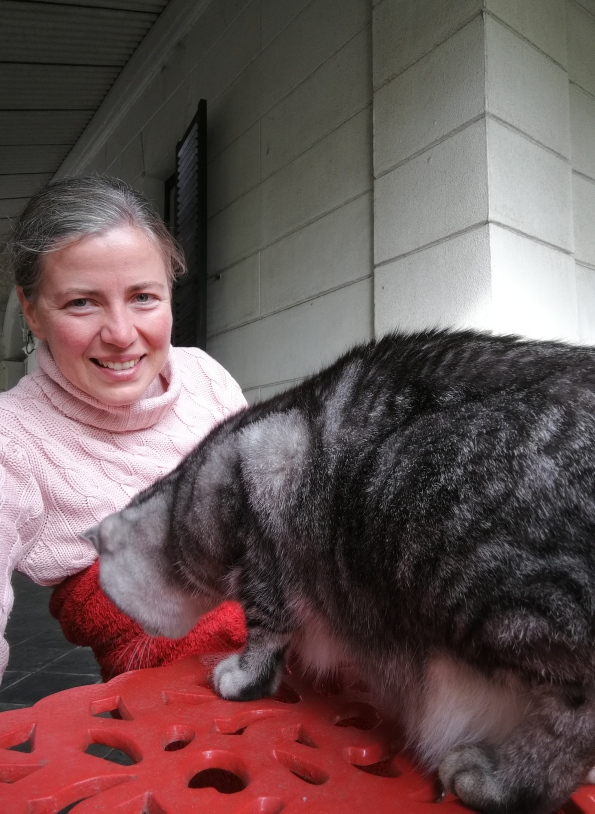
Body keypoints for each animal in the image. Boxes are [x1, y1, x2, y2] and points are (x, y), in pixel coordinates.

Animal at [83, 329, 595, 814]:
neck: (186, 501)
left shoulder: (264, 529)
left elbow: (263, 635)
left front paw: (242, 679)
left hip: (463, 558)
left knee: (575, 714)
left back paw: (499, 783)